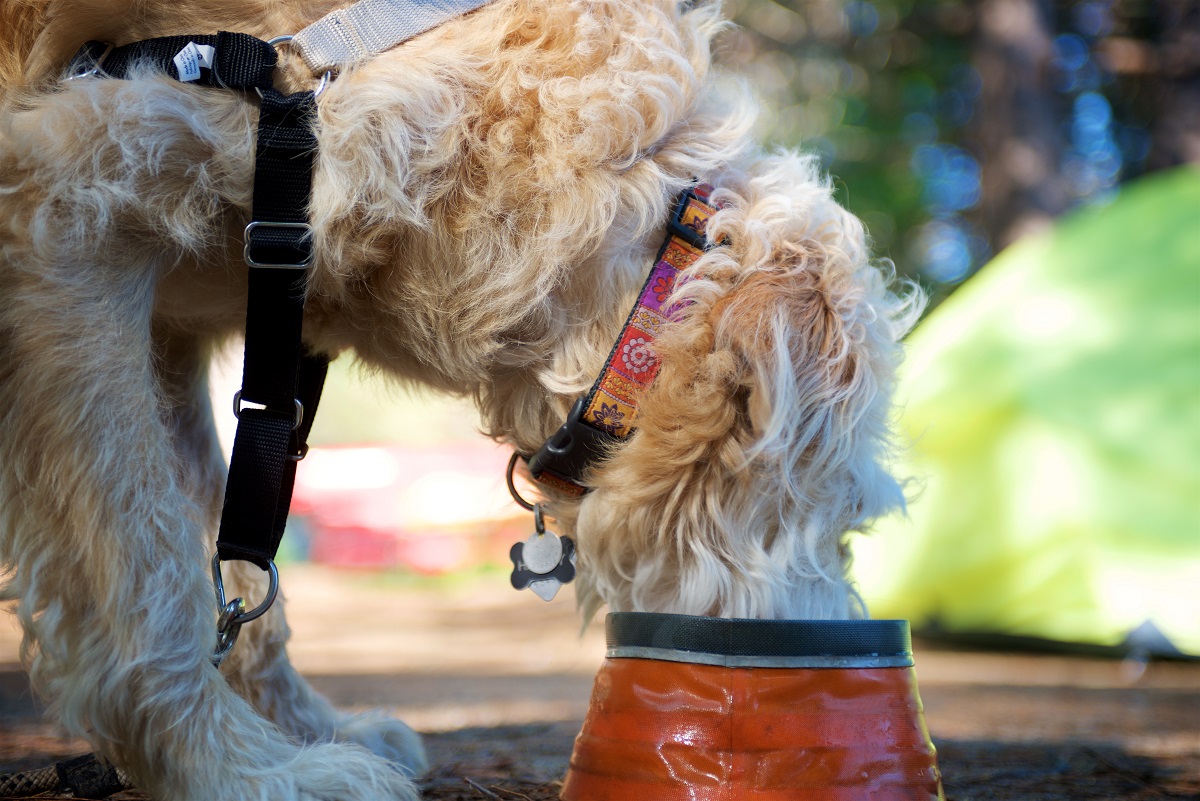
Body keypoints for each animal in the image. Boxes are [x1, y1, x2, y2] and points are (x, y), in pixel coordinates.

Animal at [0, 0, 921, 796]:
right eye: (847, 523)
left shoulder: (174, 330)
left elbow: (236, 562)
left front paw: (300, 731)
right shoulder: (63, 213)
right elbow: (145, 571)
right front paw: (241, 773)